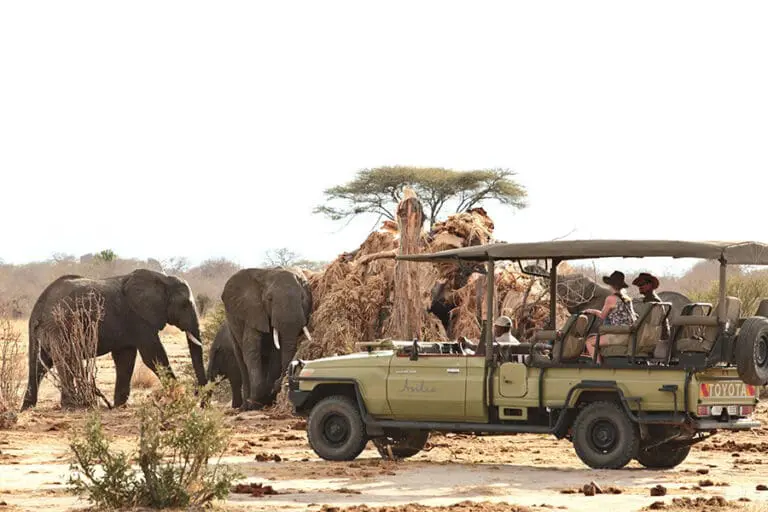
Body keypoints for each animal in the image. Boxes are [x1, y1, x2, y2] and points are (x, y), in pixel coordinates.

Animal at [22, 269, 207, 409]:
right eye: (184, 305)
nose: (200, 399)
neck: (163, 279)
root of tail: (39, 305)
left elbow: (125, 359)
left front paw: (119, 406)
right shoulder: (139, 318)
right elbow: (153, 355)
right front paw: (180, 398)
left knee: (38, 364)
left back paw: (27, 408)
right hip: (58, 326)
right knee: (65, 358)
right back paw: (72, 406)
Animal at [221, 267, 312, 410]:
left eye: (303, 298)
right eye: (269, 299)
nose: (278, 383)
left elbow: (276, 352)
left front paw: (267, 396)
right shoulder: (253, 312)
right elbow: (251, 350)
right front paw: (255, 402)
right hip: (231, 326)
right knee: (241, 358)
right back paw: (245, 406)